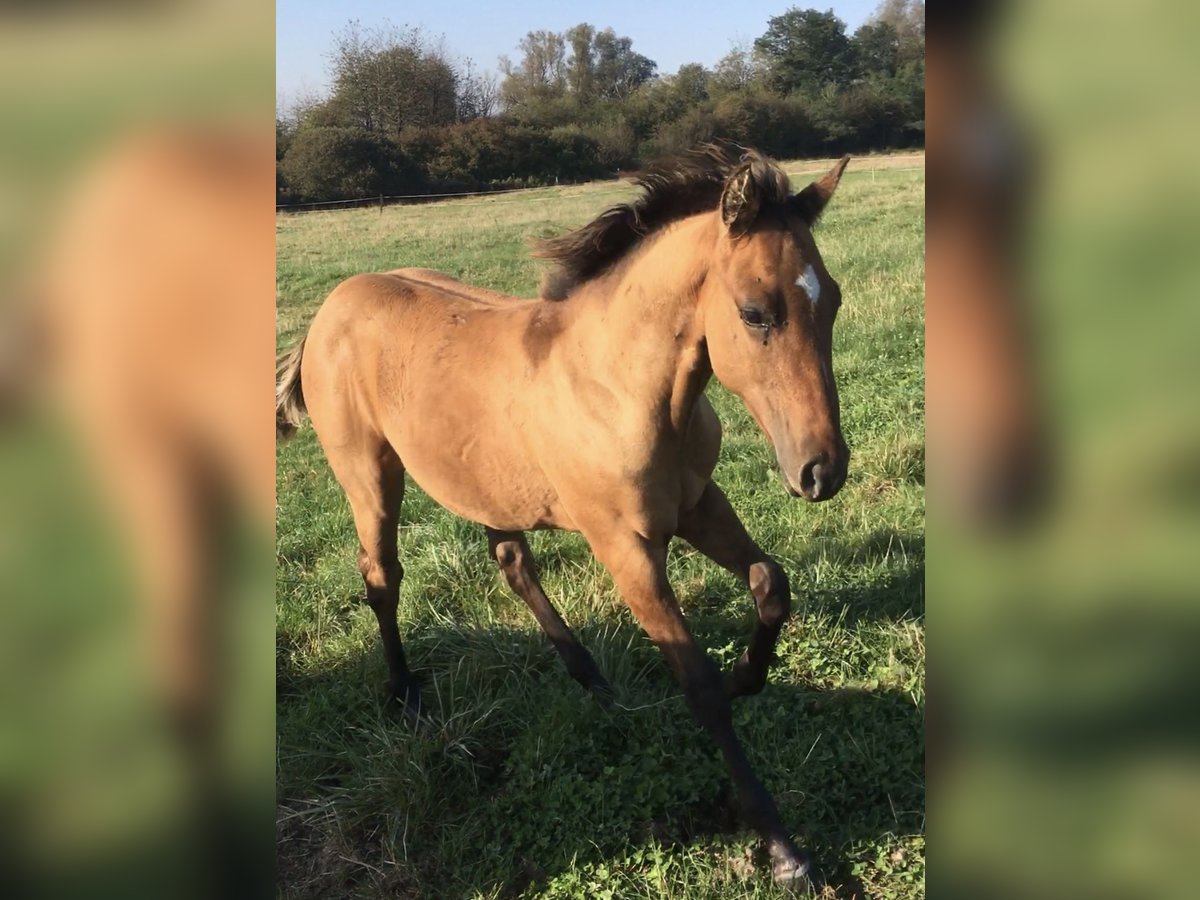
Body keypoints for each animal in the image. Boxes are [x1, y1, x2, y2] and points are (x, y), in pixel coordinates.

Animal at [273, 148, 854, 897]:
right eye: (757, 314)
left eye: (832, 299)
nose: (822, 472)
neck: (619, 386)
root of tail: (329, 309)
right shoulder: (625, 545)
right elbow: (697, 684)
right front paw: (784, 849)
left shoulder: (697, 504)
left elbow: (770, 583)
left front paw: (746, 676)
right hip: (369, 475)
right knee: (381, 576)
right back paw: (404, 695)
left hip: (483, 480)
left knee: (511, 563)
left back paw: (593, 681)